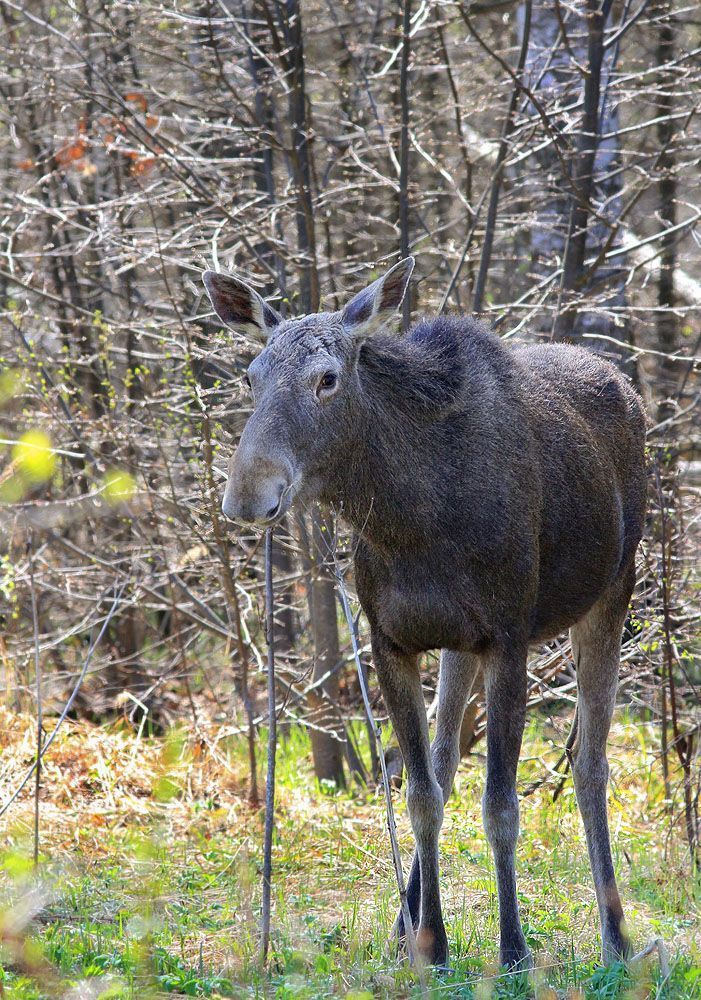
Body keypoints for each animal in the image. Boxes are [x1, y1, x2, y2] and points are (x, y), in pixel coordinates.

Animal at [202, 258, 647, 971]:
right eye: (251, 375)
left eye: (328, 377)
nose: (248, 494)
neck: (408, 519)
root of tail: (625, 384)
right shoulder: (392, 642)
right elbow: (419, 795)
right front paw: (431, 943)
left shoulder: (510, 638)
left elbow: (501, 807)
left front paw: (513, 949)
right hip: (460, 645)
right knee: (445, 762)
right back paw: (405, 920)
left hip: (611, 593)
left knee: (589, 764)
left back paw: (617, 936)